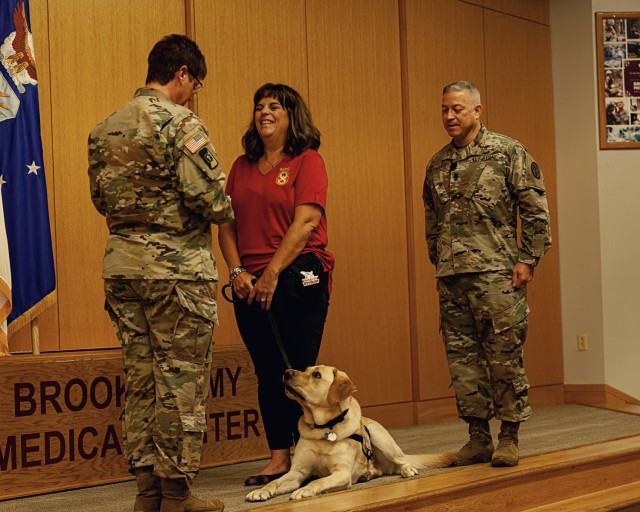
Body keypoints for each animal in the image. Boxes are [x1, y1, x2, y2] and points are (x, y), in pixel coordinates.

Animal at [245, 366, 456, 502]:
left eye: (316, 374)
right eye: (306, 370)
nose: (286, 372)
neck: (324, 427)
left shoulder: (342, 473)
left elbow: (319, 480)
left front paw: (305, 490)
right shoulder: (298, 472)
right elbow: (275, 482)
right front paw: (261, 490)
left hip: (380, 437)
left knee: (402, 461)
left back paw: (407, 470)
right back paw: (368, 474)